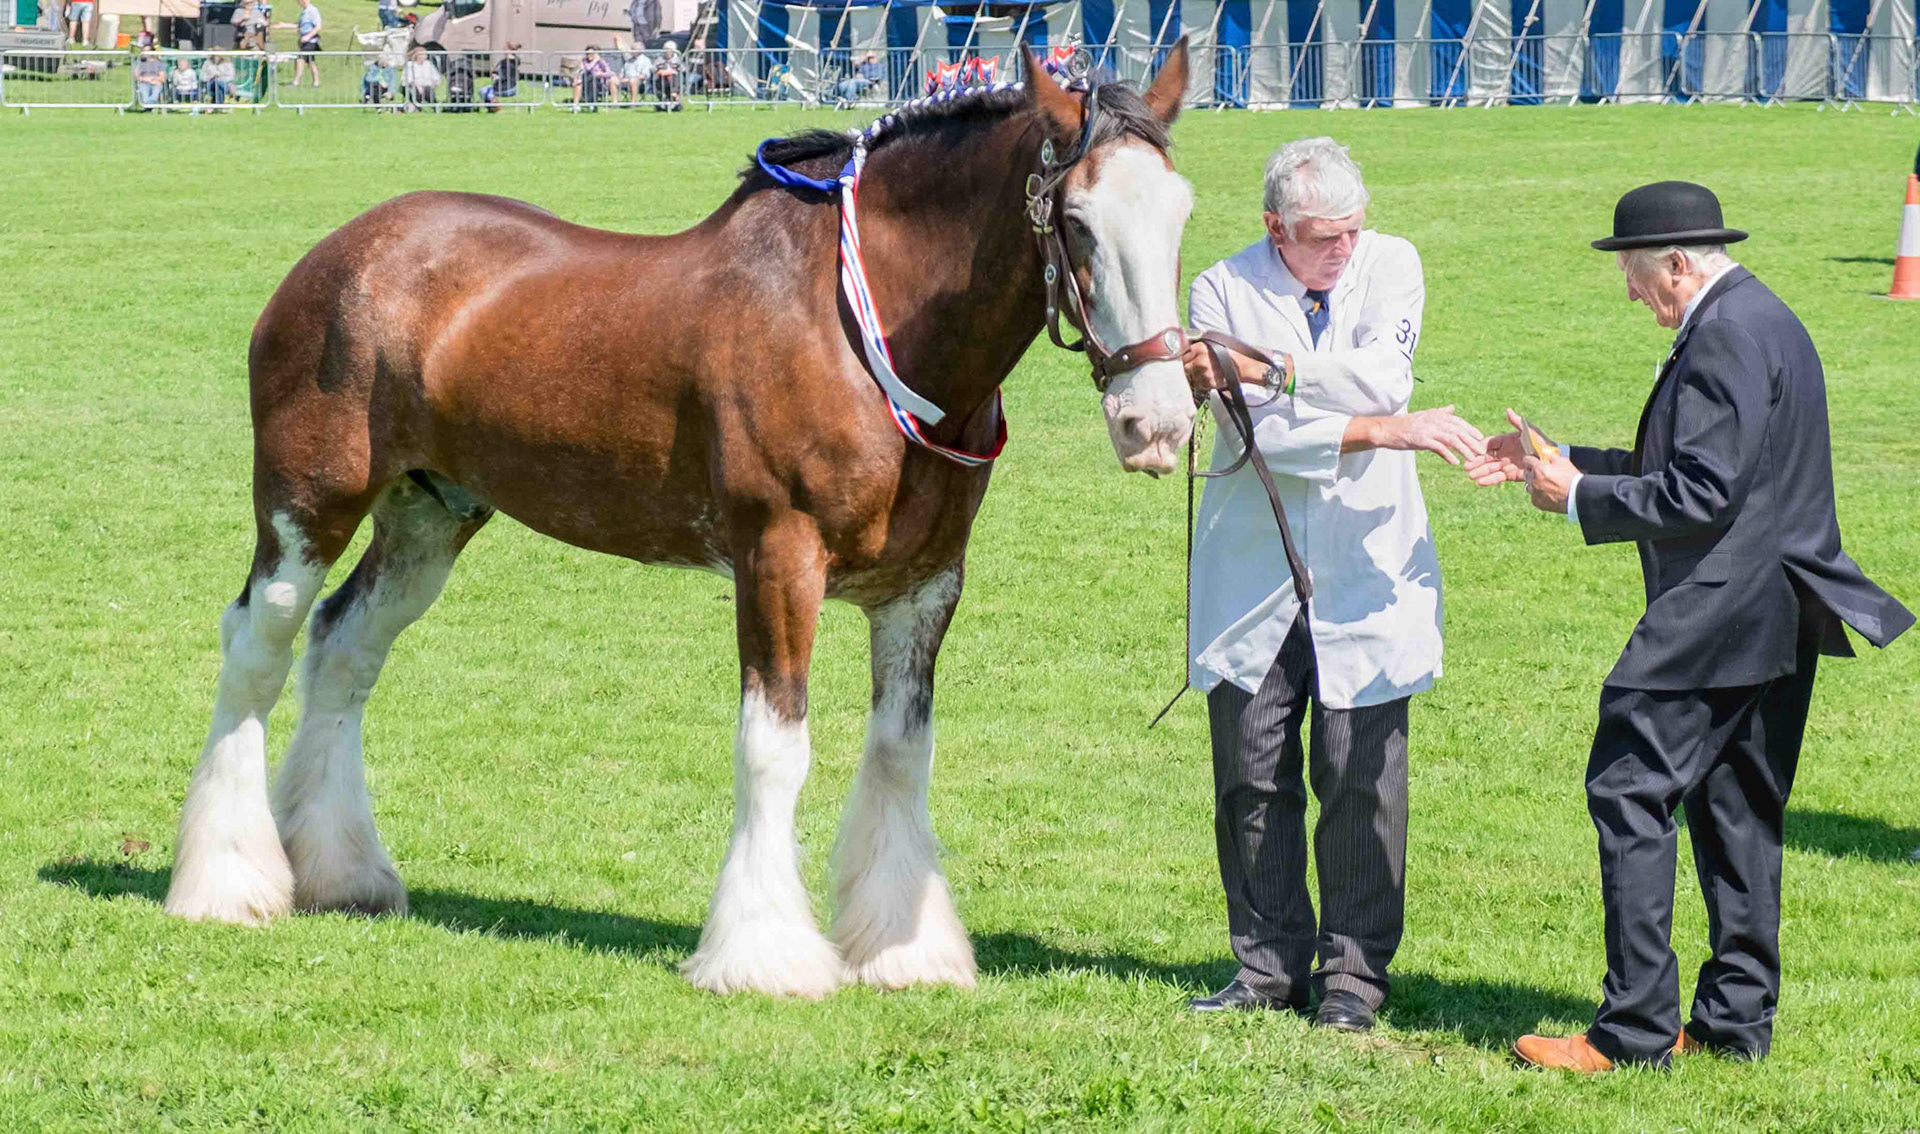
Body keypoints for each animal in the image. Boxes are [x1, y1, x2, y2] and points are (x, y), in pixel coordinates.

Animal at [161, 45, 1200, 999]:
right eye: (1076, 222)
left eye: (1182, 214)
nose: (1156, 423)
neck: (864, 334)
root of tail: (341, 253)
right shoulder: (778, 559)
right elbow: (775, 750)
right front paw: (764, 956)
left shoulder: (926, 583)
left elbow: (902, 752)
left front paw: (904, 952)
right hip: (308, 505)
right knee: (258, 647)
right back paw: (224, 883)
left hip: (428, 520)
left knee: (344, 647)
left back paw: (341, 873)